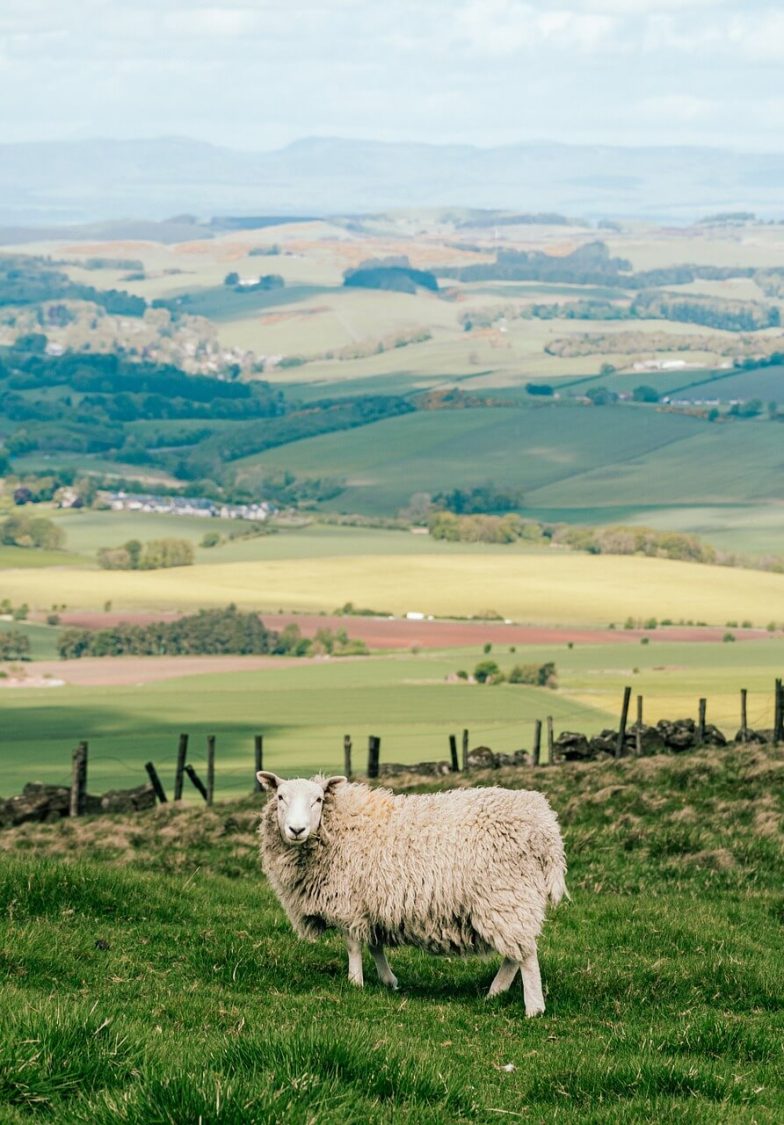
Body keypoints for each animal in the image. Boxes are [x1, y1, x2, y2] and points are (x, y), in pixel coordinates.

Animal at [258, 774, 569, 1021]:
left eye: (319, 799)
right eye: (280, 796)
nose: (296, 830)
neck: (339, 827)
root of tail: (546, 827)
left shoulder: (349, 902)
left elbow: (354, 946)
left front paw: (355, 983)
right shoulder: (373, 903)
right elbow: (375, 945)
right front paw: (388, 981)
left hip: (507, 895)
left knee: (526, 955)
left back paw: (534, 1008)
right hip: (512, 901)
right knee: (516, 952)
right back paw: (496, 992)